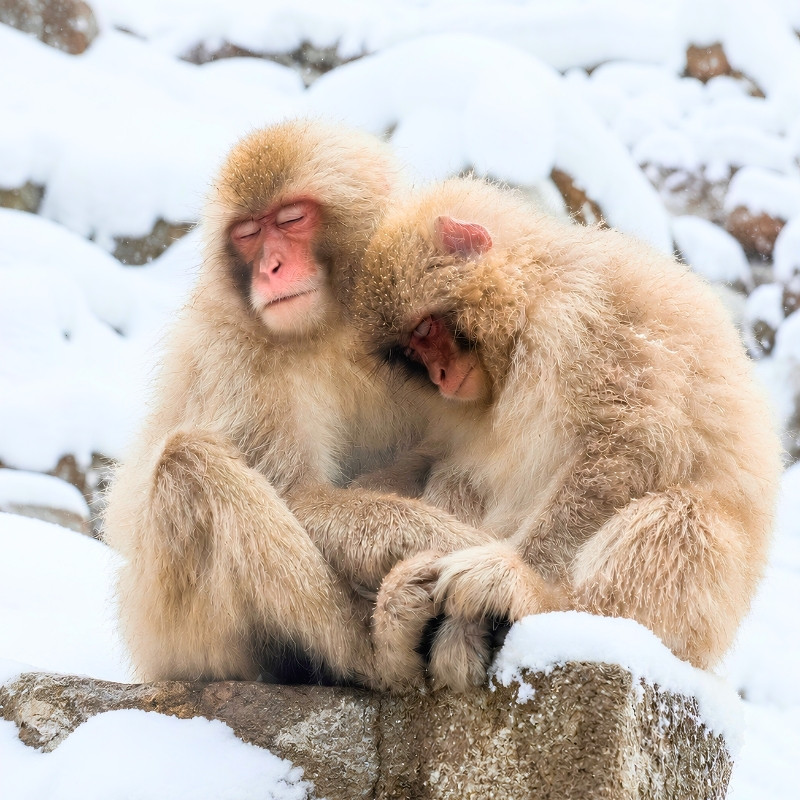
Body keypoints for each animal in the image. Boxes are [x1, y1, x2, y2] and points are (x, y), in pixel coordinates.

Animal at [102, 121, 492, 689]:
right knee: (189, 464)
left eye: (290, 219)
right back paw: (374, 654)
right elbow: (299, 495)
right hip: (171, 632)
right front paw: (459, 542)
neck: (334, 325)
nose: (271, 267)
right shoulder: (238, 356)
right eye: (247, 234)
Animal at [350, 176, 783, 691]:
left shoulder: (582, 318)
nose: (438, 375)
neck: (532, 294)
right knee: (462, 474)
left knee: (684, 517)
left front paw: (519, 572)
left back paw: (544, 604)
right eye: (410, 351)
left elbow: (630, 440)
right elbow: (437, 459)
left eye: (425, 328)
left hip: (701, 628)